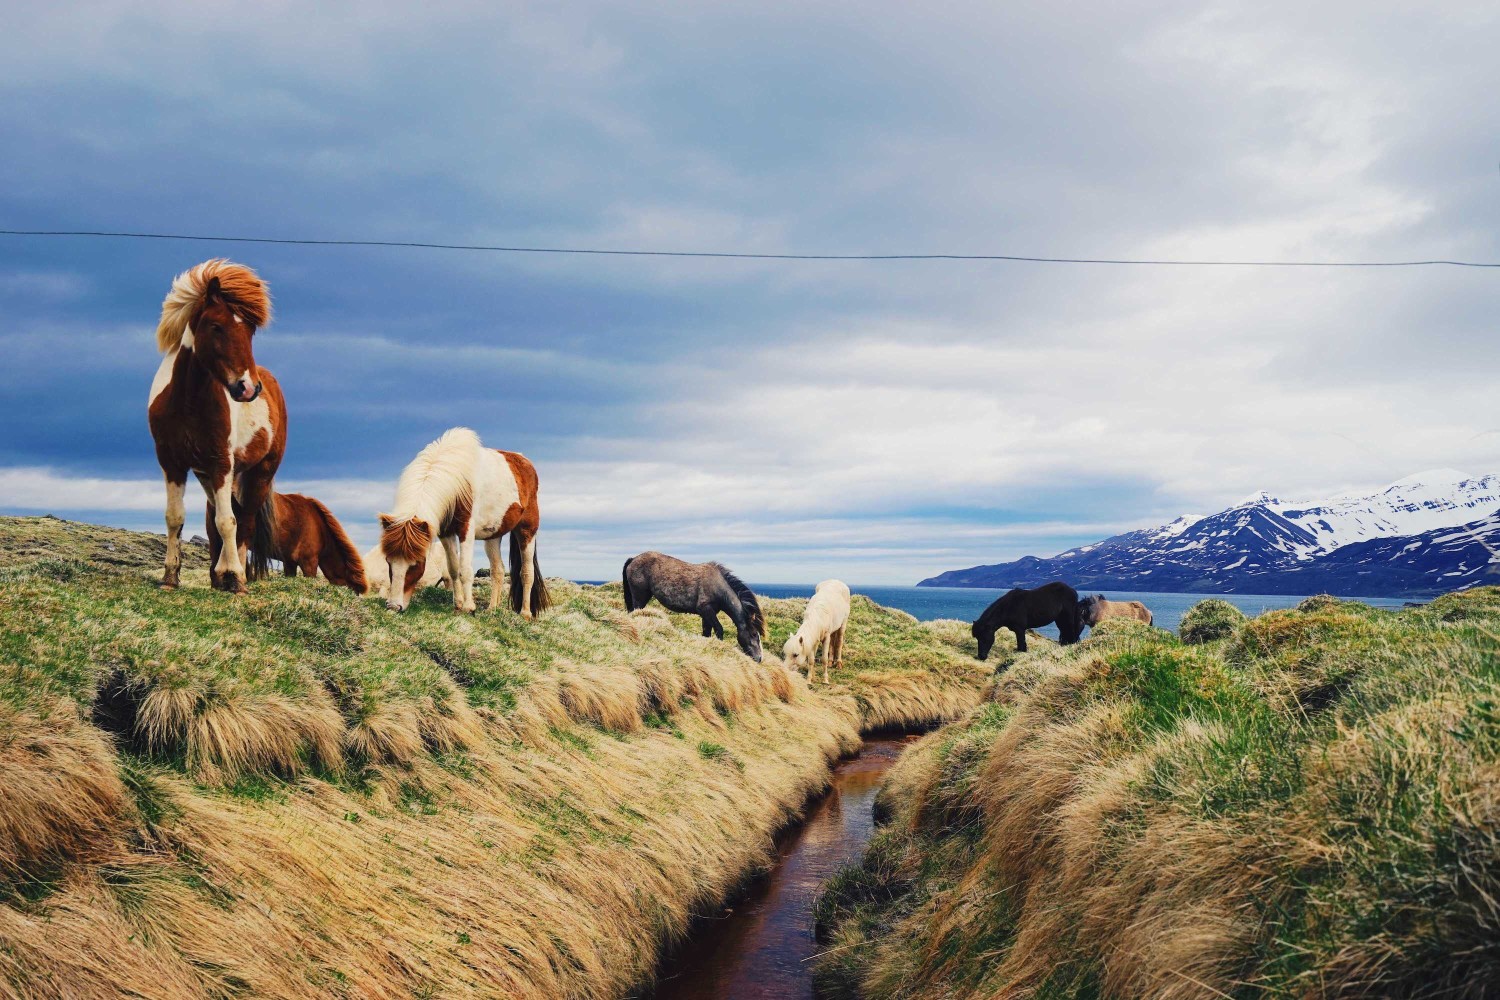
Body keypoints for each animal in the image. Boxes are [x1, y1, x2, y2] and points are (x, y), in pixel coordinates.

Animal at [147, 262, 285, 599]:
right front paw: (170, 578)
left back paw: (235, 576)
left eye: (250, 331)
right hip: (208, 475)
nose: (248, 388)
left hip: (259, 472)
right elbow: (176, 517)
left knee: (243, 520)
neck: (187, 400)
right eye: (216, 326)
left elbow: (228, 521)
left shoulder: (221, 462)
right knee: (217, 520)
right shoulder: (172, 463)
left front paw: (234, 578)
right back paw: (216, 575)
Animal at [375, 425, 552, 614]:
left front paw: (469, 607)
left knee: (526, 572)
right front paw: (458, 604)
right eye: (388, 561)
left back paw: (525, 612)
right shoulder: (446, 533)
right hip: (493, 536)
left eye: (415, 564)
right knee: (497, 571)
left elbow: (465, 570)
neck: (454, 480)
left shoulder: (466, 530)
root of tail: (524, 461)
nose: (394, 606)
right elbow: (453, 569)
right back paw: (492, 609)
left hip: (527, 531)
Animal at [618, 551, 762, 659]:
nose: (759, 658)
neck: (718, 586)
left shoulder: (707, 614)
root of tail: (633, 559)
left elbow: (706, 633)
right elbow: (719, 630)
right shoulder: (706, 610)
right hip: (640, 597)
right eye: (754, 634)